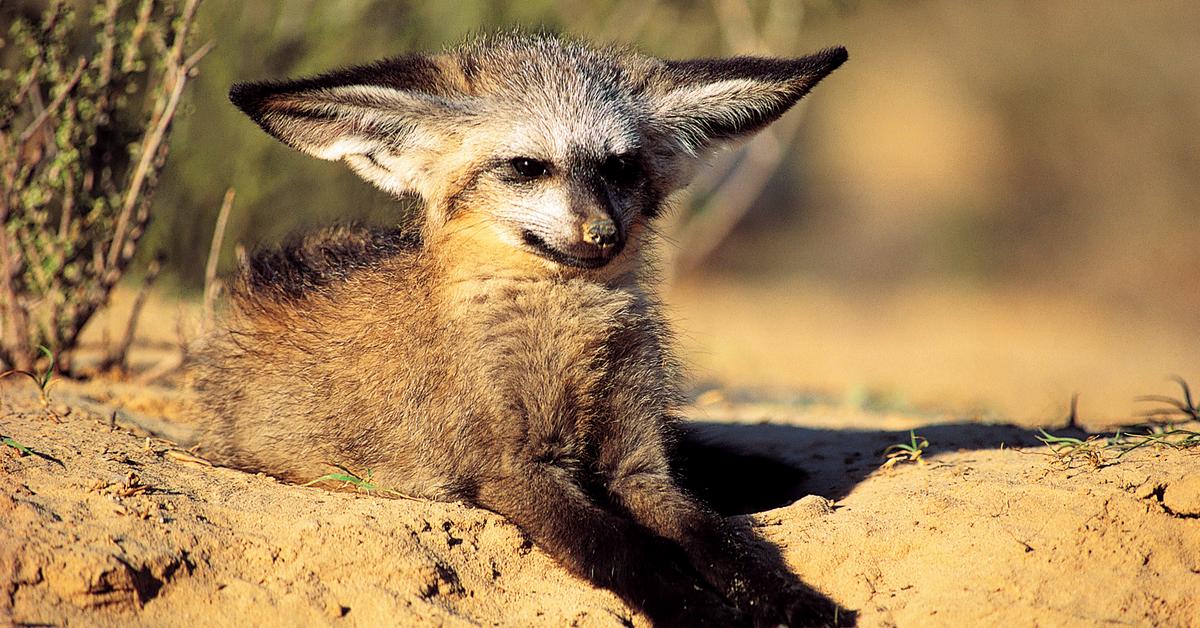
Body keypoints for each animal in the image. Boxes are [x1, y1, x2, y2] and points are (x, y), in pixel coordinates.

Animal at [194, 30, 844, 628]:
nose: (604, 234)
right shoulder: (512, 471)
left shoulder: (640, 466)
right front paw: (703, 614)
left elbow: (723, 544)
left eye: (621, 168)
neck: (566, 336)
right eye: (528, 168)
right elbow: (626, 552)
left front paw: (795, 603)